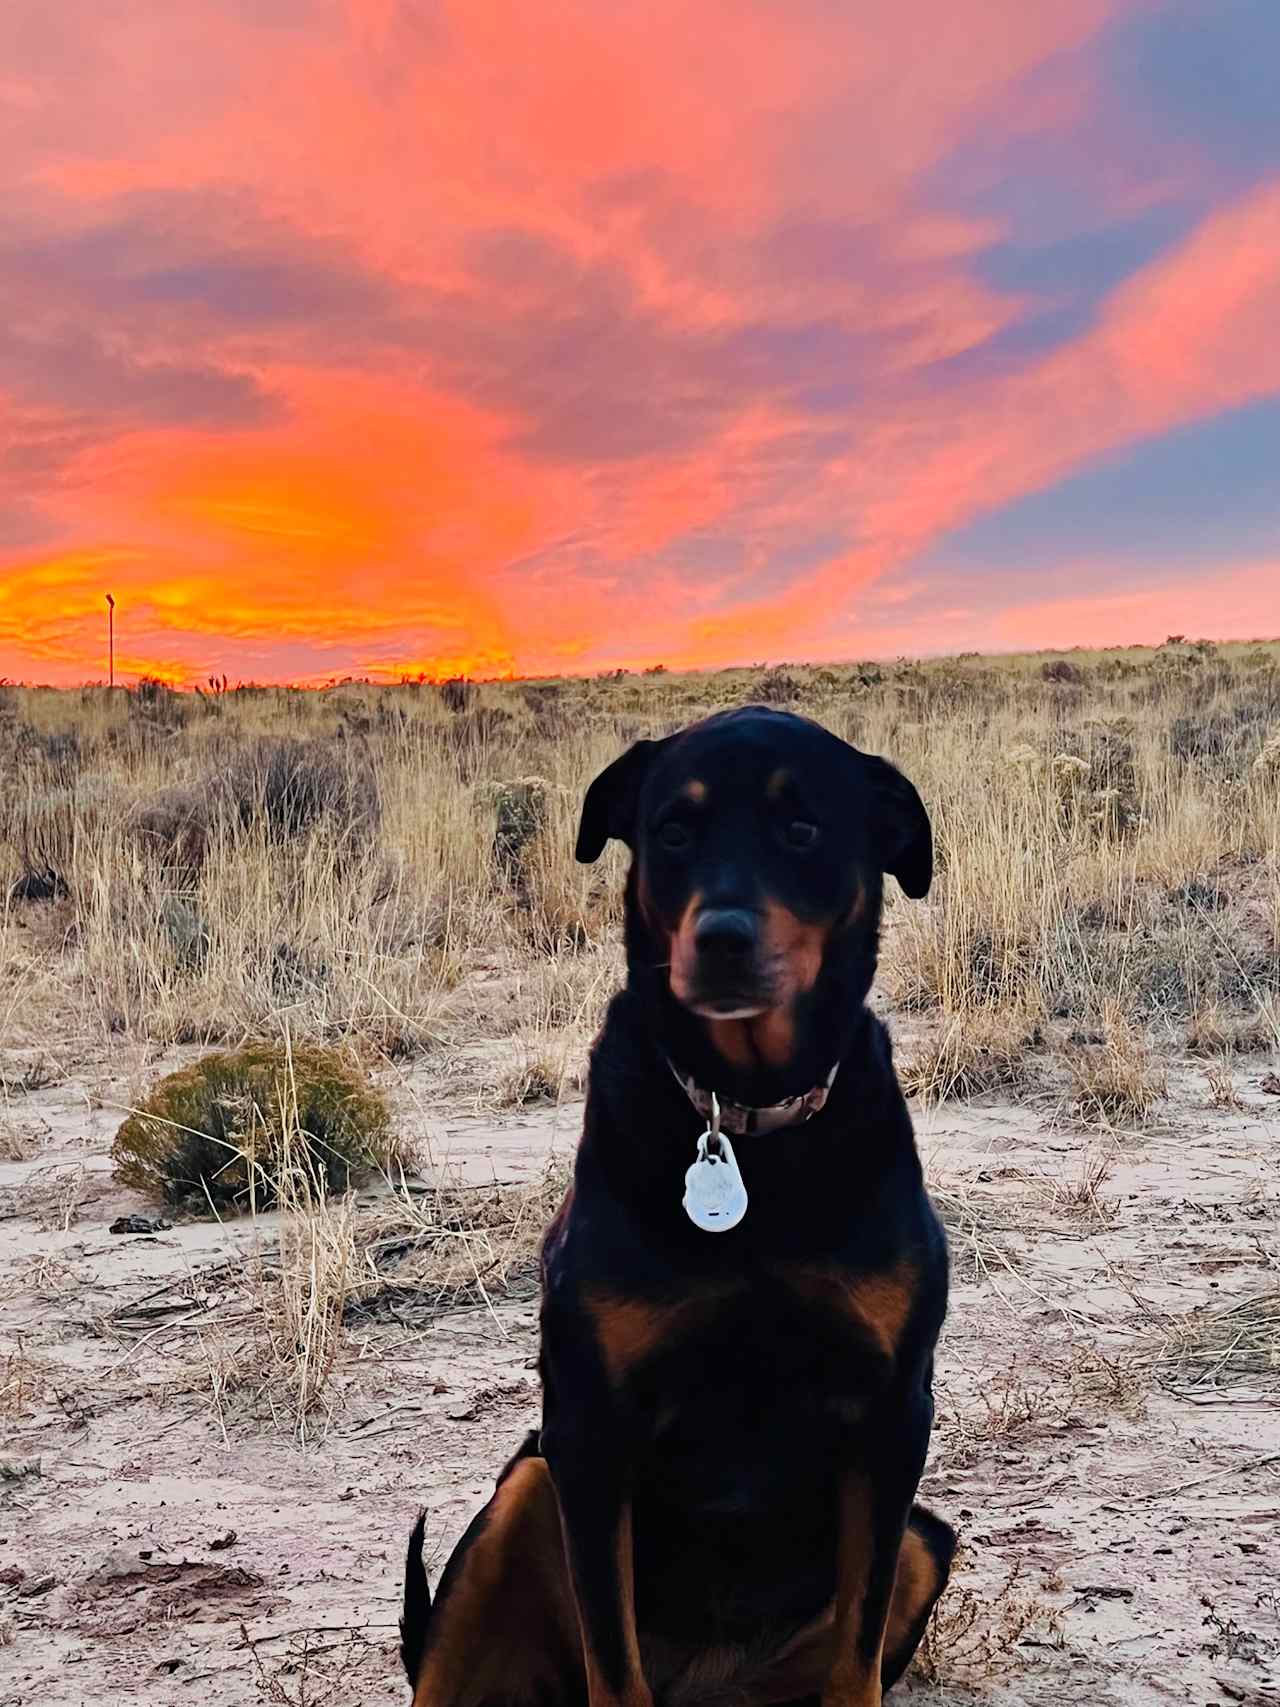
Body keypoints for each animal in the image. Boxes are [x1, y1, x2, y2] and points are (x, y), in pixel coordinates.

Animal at [406, 706, 955, 1707]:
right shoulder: (589, 1427)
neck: (747, 1115)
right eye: (672, 831)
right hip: (526, 1487)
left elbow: (856, 1651)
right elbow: (613, 1664)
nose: (723, 938)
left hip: (922, 1541)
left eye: (802, 827)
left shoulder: (895, 1412)